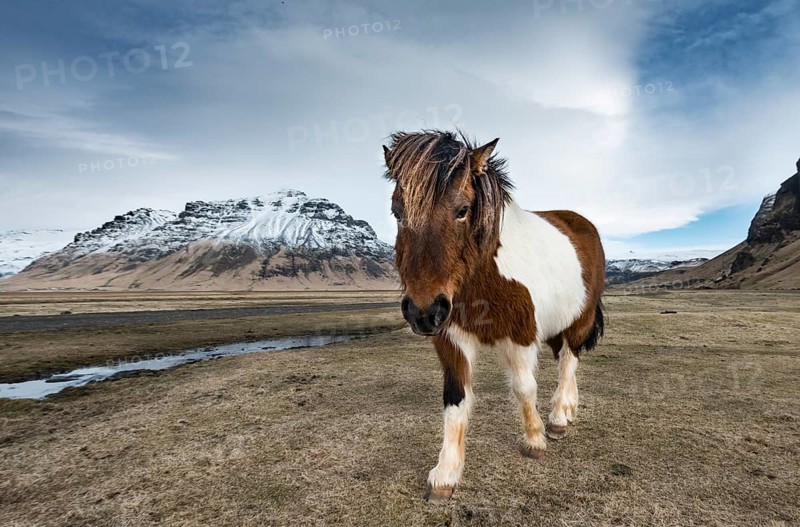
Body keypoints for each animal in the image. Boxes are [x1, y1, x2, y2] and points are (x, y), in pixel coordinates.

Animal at [382, 130, 605, 503]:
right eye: (397, 212)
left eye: (462, 210)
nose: (423, 312)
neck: (483, 275)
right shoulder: (451, 338)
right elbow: (455, 398)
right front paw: (445, 474)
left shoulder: (521, 336)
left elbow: (524, 388)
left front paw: (534, 440)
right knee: (566, 360)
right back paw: (568, 410)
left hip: (580, 320)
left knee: (569, 362)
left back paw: (559, 417)